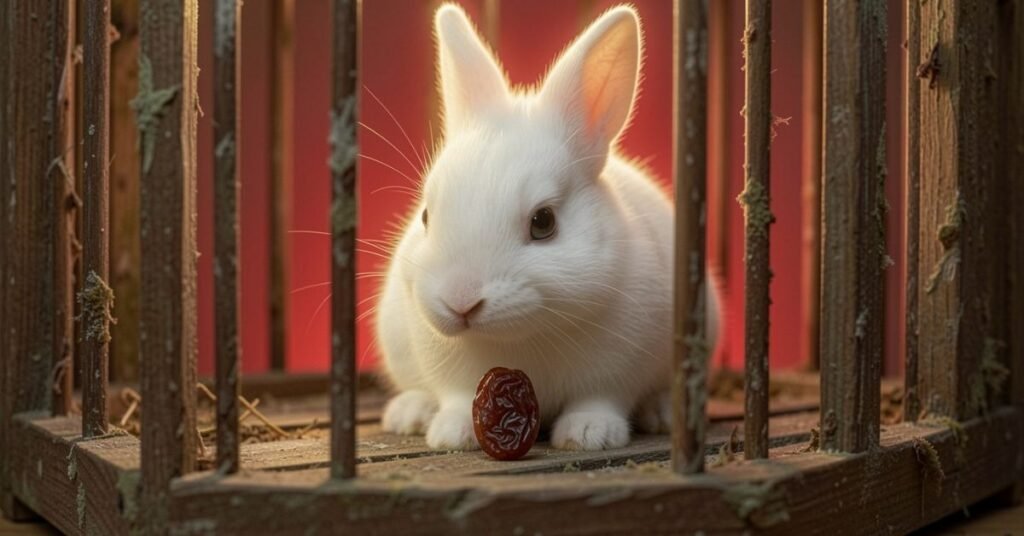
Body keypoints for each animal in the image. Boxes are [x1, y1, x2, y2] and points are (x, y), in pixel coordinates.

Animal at [375, 3, 719, 451]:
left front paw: (588, 434)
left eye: (543, 222)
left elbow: (599, 399)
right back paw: (410, 413)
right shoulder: (452, 375)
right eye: (426, 216)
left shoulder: (614, 373)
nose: (459, 301)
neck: (521, 337)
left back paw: (661, 412)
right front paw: (452, 433)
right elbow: (459, 398)